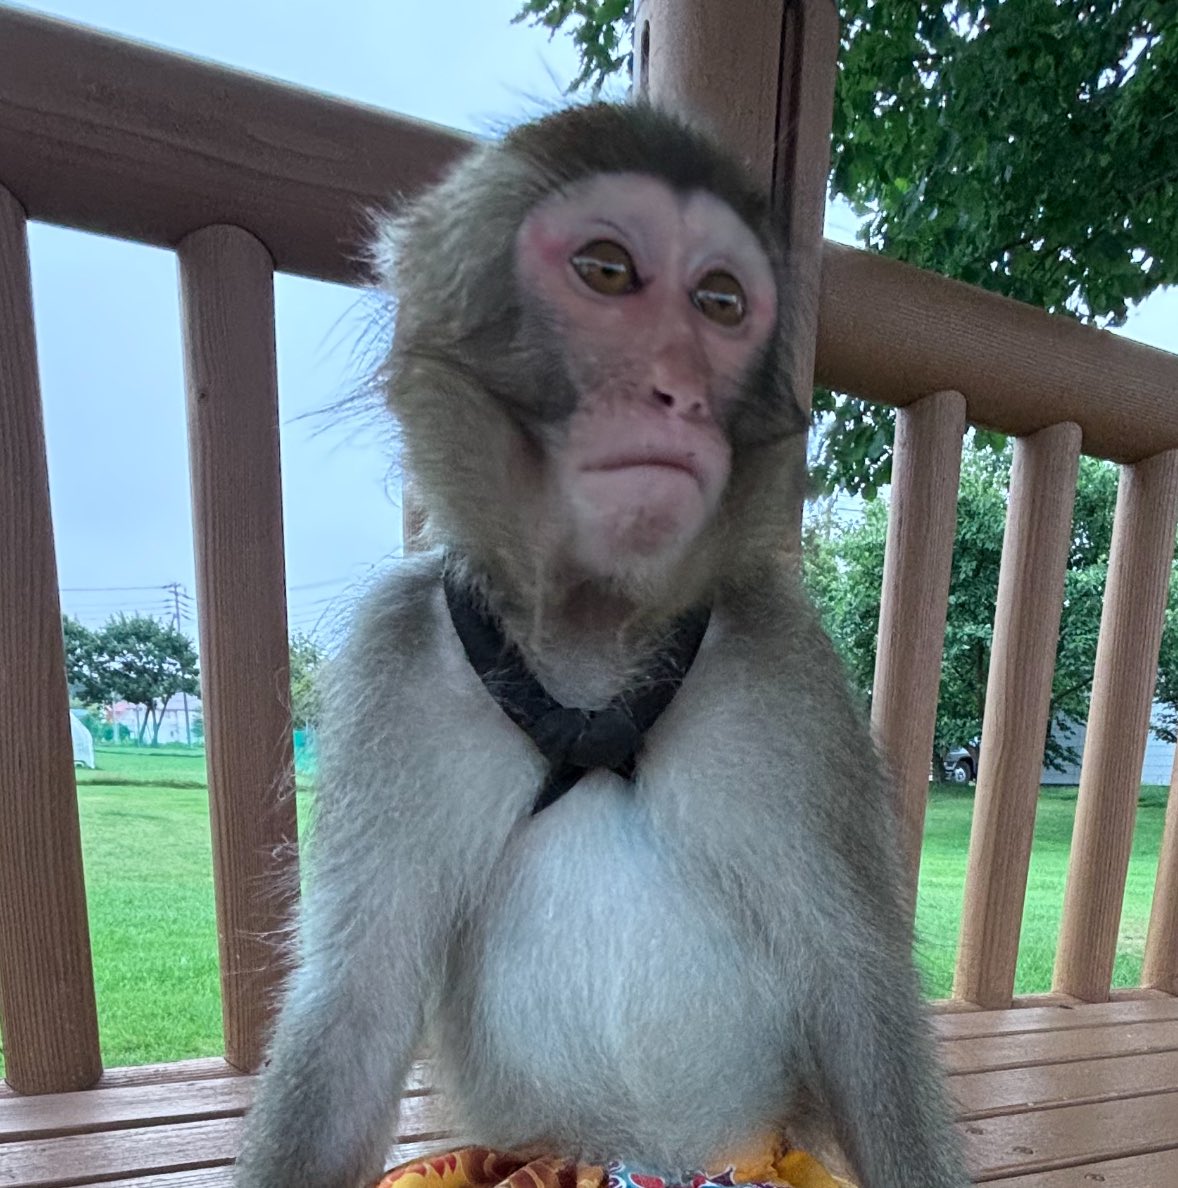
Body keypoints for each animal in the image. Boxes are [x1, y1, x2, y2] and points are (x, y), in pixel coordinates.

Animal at [234, 103, 968, 1188]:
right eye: (608, 272)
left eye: (718, 302)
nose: (677, 390)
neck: (590, 644)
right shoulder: (392, 666)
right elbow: (355, 1008)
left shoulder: (781, 670)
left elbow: (856, 991)